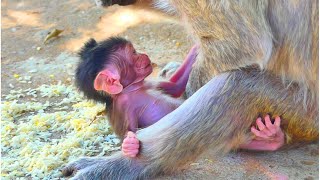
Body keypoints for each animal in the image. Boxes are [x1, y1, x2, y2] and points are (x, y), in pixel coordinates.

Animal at [75, 37, 284, 158]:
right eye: (133, 54)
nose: (144, 55)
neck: (131, 89)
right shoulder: (121, 107)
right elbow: (129, 130)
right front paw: (129, 147)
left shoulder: (150, 83)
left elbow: (175, 87)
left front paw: (196, 49)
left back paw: (271, 136)